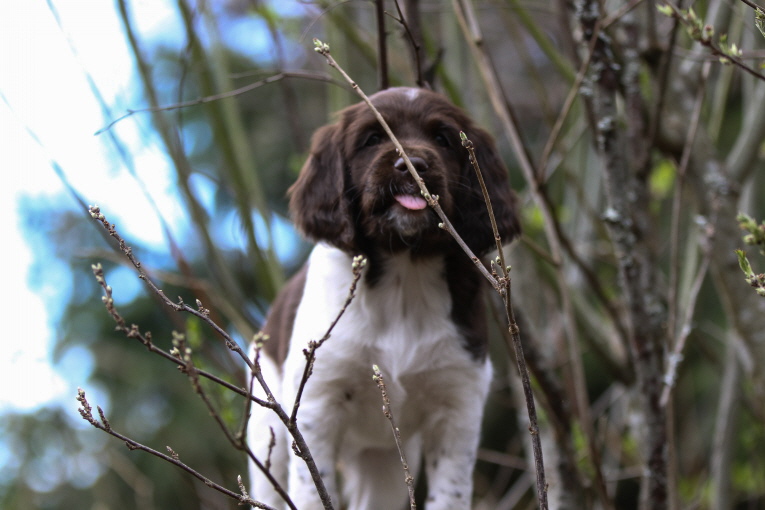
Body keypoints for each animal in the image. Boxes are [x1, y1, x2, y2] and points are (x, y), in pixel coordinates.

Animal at [249, 85, 520, 508]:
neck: (405, 273)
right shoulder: (316, 403)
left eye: (442, 138)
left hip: (384, 462)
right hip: (267, 435)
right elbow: (313, 489)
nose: (412, 164)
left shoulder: (458, 405)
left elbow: (450, 495)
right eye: (372, 139)